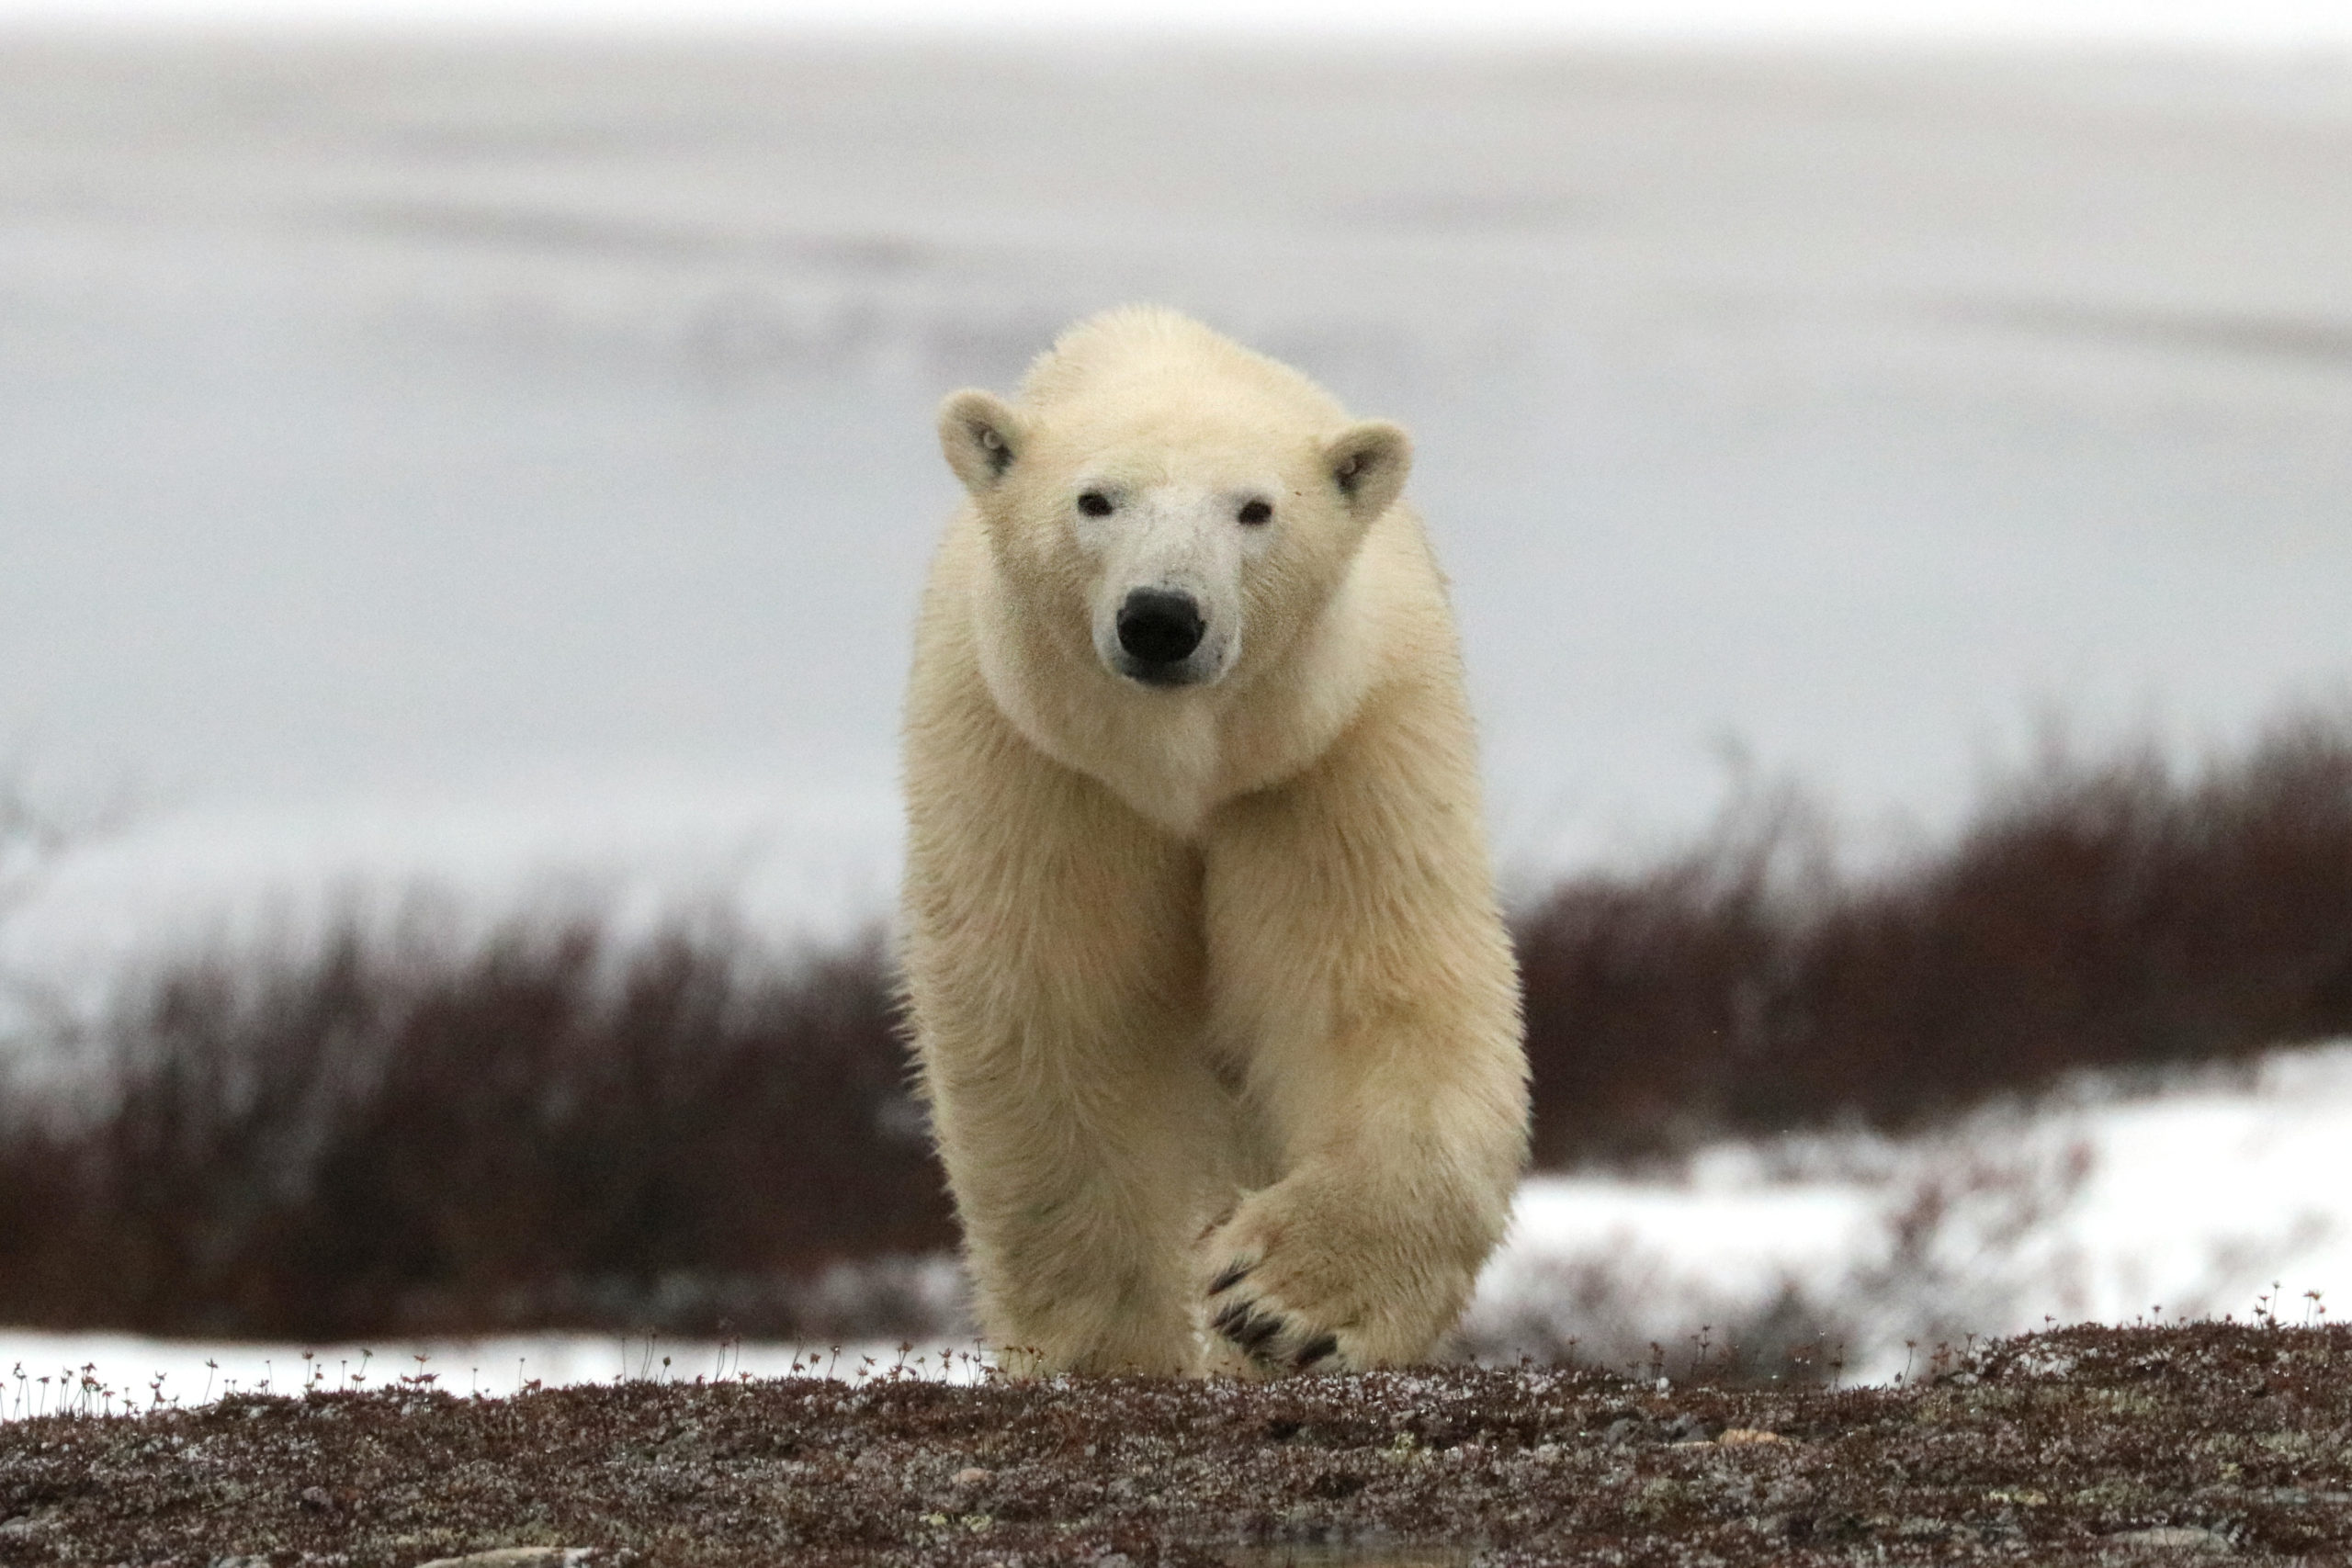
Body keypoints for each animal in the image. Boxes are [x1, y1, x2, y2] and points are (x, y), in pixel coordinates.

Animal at [898, 303, 1523, 1372]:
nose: (1162, 617)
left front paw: (1277, 1303)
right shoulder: (1045, 767)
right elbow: (1062, 1019)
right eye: (1095, 500)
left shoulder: (1325, 756)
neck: (1185, 766)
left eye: (1255, 510)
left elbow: (1372, 992)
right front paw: (1109, 1350)